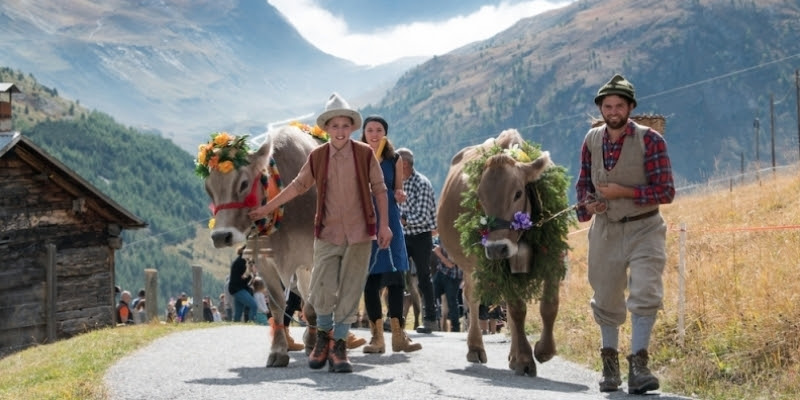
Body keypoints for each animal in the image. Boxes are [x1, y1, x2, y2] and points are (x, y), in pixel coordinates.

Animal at [202, 125, 320, 366]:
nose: (220, 236)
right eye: (209, 189)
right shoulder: (265, 262)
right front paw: (278, 352)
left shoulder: (314, 256)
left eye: (244, 183)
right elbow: (277, 305)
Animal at [434, 130, 560, 376]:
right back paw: (475, 348)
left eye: (518, 193)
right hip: (471, 266)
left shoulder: (555, 257)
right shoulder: (502, 267)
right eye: (480, 197)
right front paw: (525, 359)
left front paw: (544, 350)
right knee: (472, 298)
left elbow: (549, 306)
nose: (495, 247)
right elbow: (517, 309)